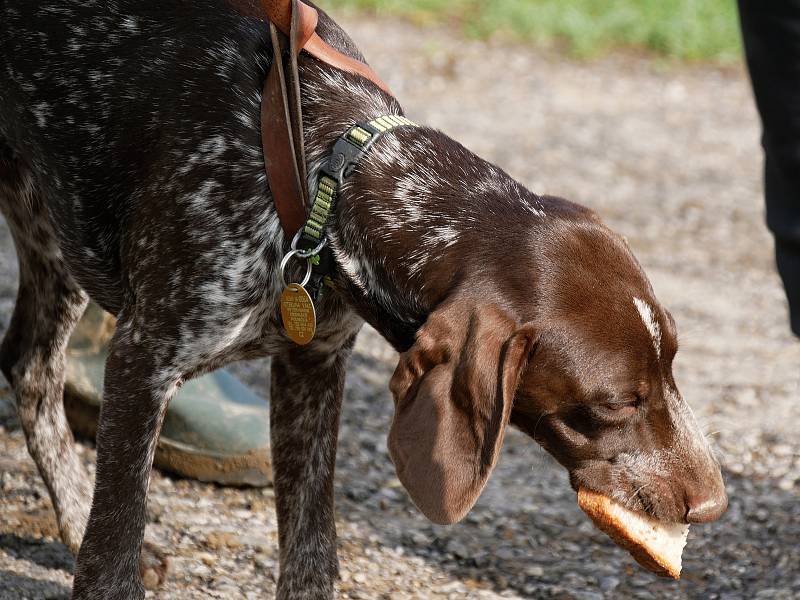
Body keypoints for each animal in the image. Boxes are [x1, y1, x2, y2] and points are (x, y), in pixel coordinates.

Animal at [0, 1, 724, 600]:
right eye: (615, 402)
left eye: (674, 364)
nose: (715, 505)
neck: (324, 173)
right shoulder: (145, 361)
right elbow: (113, 549)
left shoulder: (313, 367)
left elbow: (311, 552)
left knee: (30, 368)